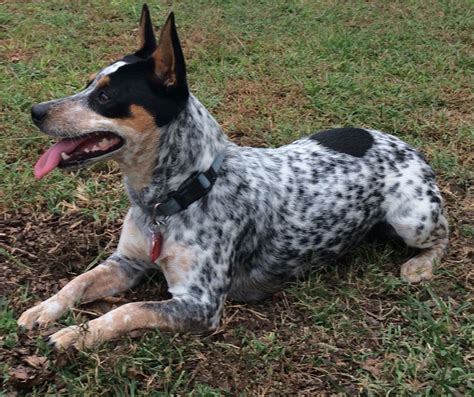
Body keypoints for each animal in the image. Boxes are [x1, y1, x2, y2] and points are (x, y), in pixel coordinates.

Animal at [18, 5, 448, 346]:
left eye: (105, 97)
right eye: (88, 83)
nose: (35, 111)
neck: (176, 194)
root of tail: (404, 144)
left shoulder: (199, 304)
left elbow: (128, 310)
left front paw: (76, 334)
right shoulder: (125, 262)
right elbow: (78, 282)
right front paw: (44, 309)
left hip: (413, 219)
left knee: (444, 236)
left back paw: (420, 266)